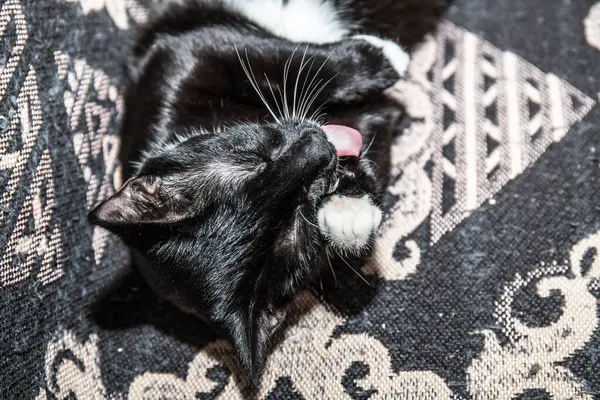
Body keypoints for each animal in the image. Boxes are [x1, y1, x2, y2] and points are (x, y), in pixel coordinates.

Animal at [89, 0, 442, 384]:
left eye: (255, 161)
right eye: (297, 213)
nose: (320, 148)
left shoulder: (175, 60)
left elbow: (267, 52)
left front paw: (383, 56)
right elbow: (370, 157)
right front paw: (348, 215)